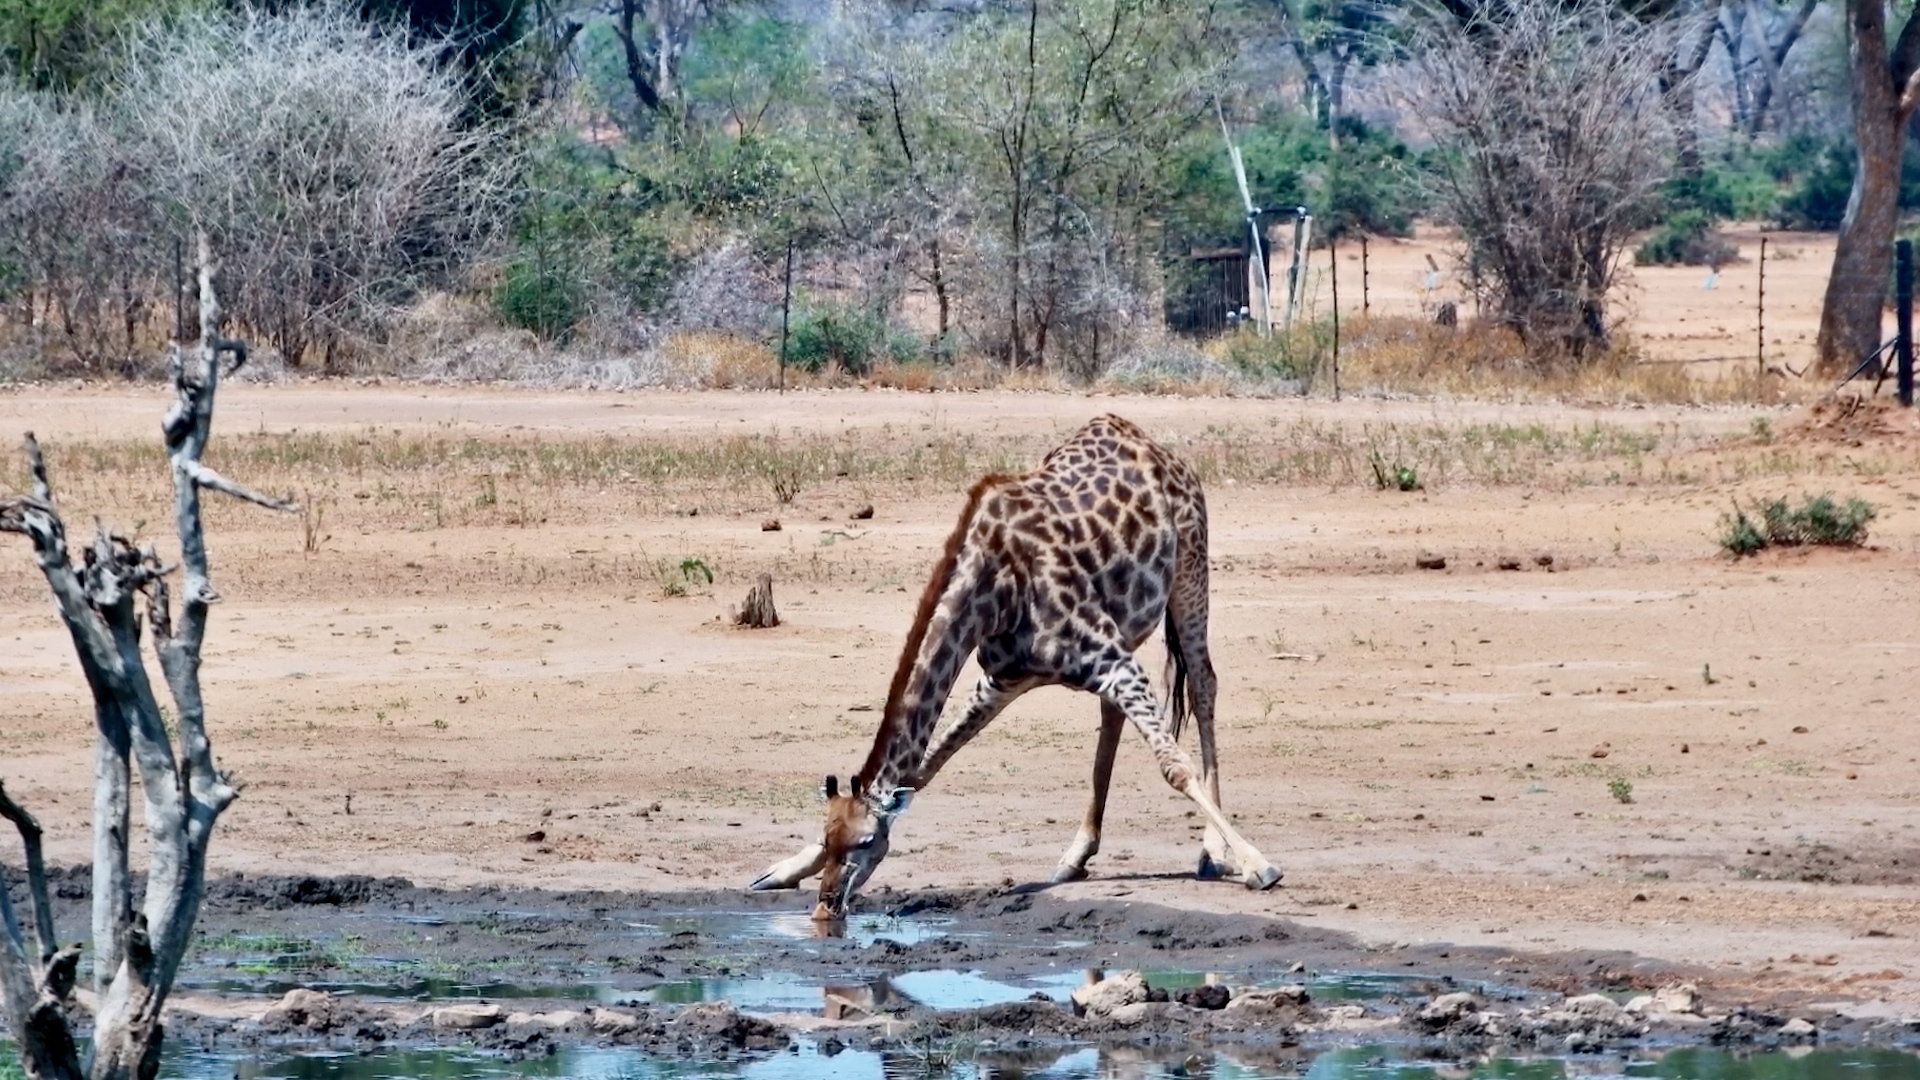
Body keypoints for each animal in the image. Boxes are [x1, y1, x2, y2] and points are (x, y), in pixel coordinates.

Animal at [749, 414, 1282, 920]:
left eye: (864, 842)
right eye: (828, 838)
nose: (826, 907)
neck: (993, 588)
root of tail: (1155, 447)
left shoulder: (1111, 661)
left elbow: (1174, 766)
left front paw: (1257, 863)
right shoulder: (1003, 678)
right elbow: (922, 769)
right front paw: (784, 868)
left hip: (1191, 568)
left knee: (1204, 682)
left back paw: (1213, 851)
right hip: (1128, 623)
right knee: (1115, 713)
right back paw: (1076, 854)